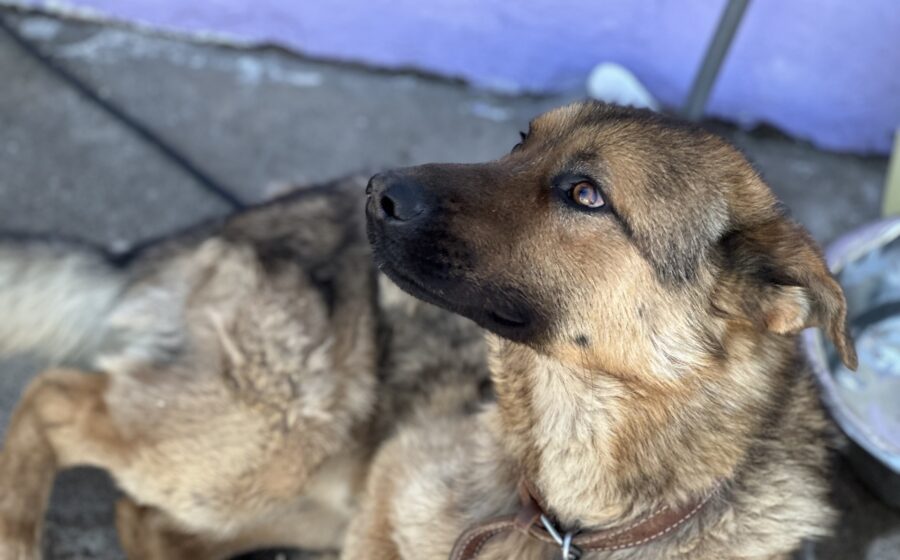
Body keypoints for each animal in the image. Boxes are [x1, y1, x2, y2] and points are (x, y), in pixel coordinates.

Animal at [0, 176, 488, 559]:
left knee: (146, 523)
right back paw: (16, 538)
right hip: (275, 436)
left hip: (310, 488)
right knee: (52, 396)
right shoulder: (398, 474)